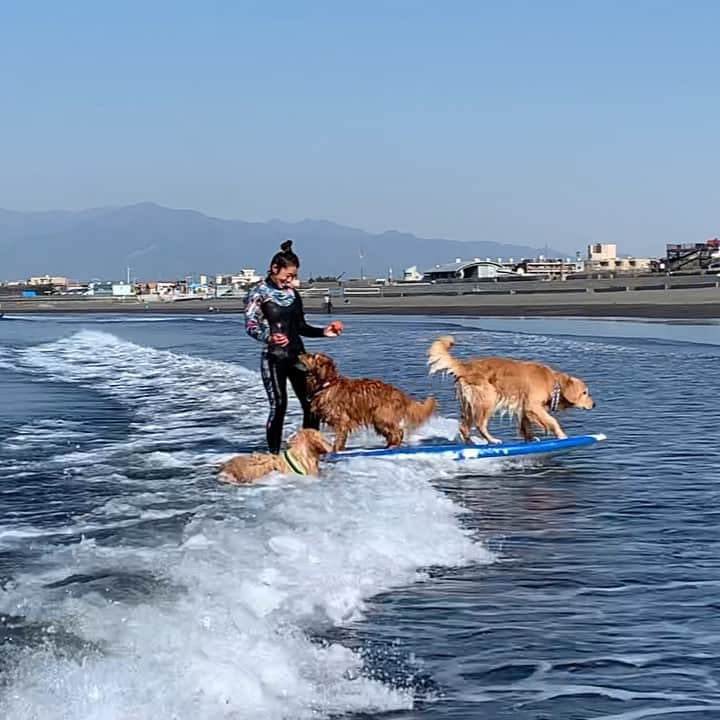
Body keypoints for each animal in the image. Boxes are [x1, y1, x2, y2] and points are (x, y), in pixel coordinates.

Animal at [296, 350, 436, 450]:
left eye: (312, 356)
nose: (299, 354)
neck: (326, 384)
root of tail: (399, 393)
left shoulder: (342, 421)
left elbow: (338, 440)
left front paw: (335, 450)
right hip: (379, 420)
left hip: (381, 417)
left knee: (398, 432)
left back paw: (392, 446)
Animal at [430, 336, 592, 444]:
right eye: (585, 392)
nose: (594, 404)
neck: (553, 383)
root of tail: (465, 366)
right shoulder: (533, 405)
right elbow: (552, 421)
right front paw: (561, 435)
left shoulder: (524, 408)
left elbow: (526, 425)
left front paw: (530, 438)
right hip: (489, 399)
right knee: (480, 424)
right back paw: (492, 440)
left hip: (469, 405)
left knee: (464, 427)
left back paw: (470, 443)